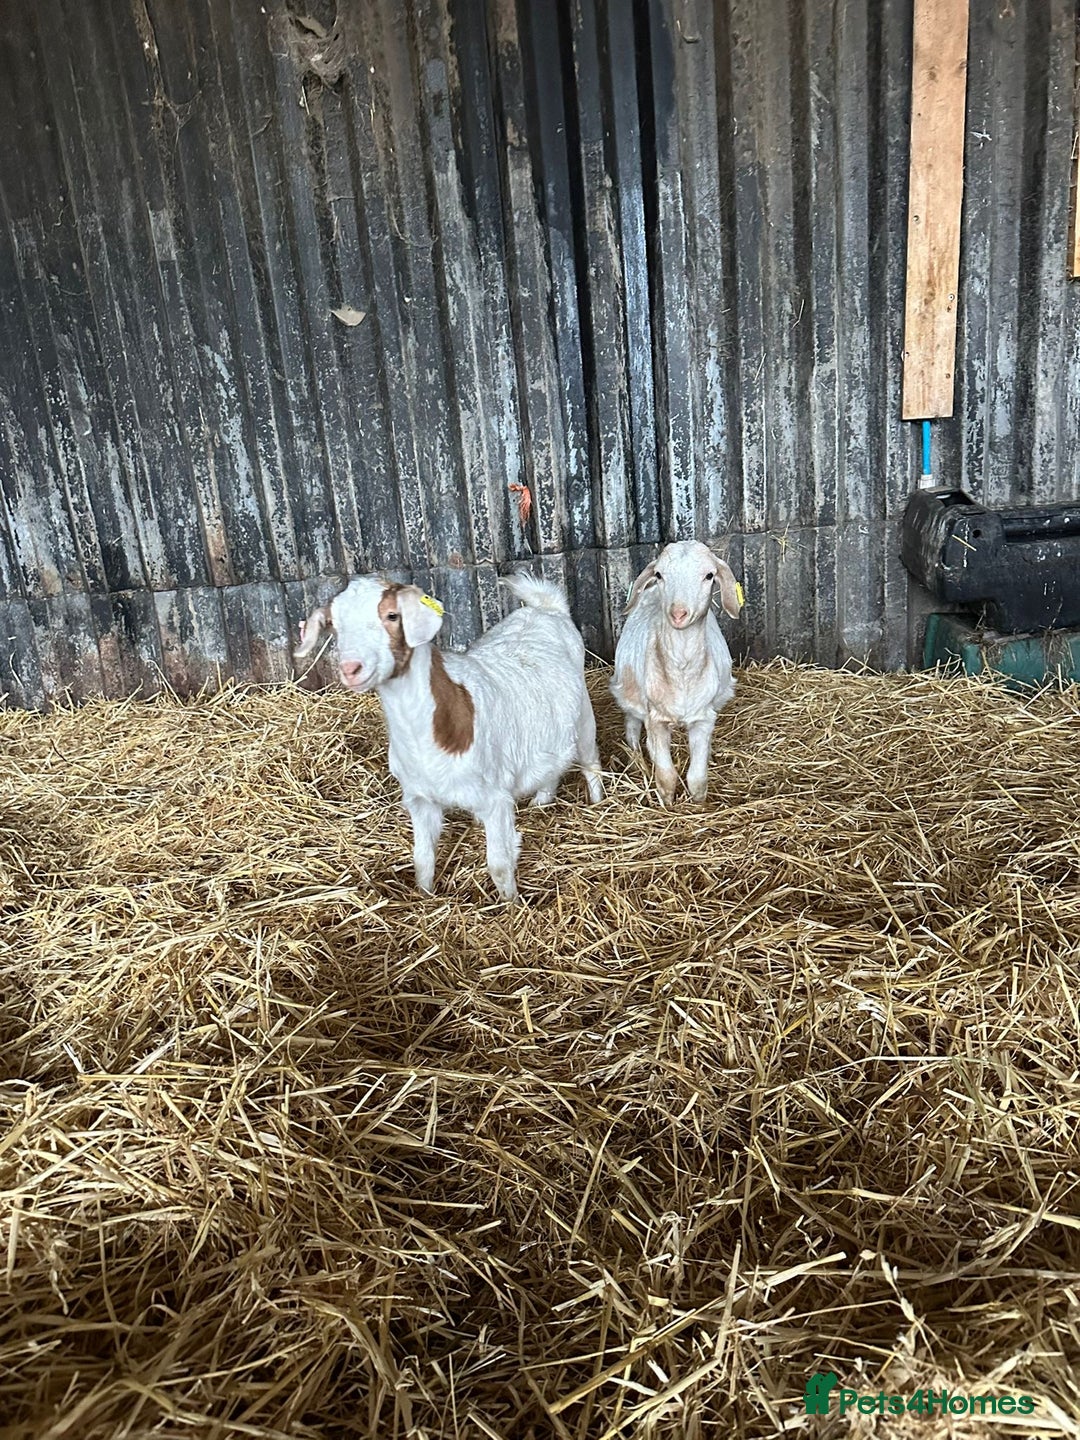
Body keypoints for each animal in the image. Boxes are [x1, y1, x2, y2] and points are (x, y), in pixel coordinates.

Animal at [295, 574, 604, 901]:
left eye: (392, 616)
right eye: (334, 625)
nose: (351, 669)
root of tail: (547, 608)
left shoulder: (495, 800)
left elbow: (499, 865)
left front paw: (510, 905)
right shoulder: (420, 799)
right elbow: (422, 858)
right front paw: (424, 895)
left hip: (584, 718)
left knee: (590, 762)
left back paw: (598, 803)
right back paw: (541, 801)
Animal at [611, 541, 742, 805]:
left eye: (709, 575)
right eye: (660, 574)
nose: (678, 614)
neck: (682, 672)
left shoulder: (704, 718)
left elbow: (697, 778)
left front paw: (699, 805)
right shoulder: (655, 719)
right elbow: (666, 776)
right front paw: (667, 805)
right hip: (629, 695)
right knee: (632, 730)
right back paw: (637, 762)